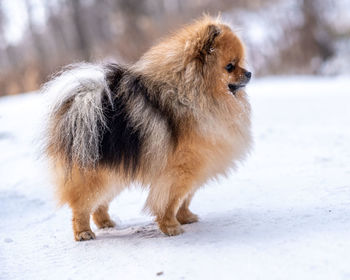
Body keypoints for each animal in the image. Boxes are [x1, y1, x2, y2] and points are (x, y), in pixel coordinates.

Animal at [43, 16, 252, 241]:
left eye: (241, 62)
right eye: (230, 66)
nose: (249, 73)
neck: (193, 94)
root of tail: (80, 106)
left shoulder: (197, 166)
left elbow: (185, 198)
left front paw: (186, 217)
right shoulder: (180, 170)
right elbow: (170, 200)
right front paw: (170, 226)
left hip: (114, 171)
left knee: (99, 203)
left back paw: (106, 223)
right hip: (95, 175)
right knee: (81, 205)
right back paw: (83, 232)